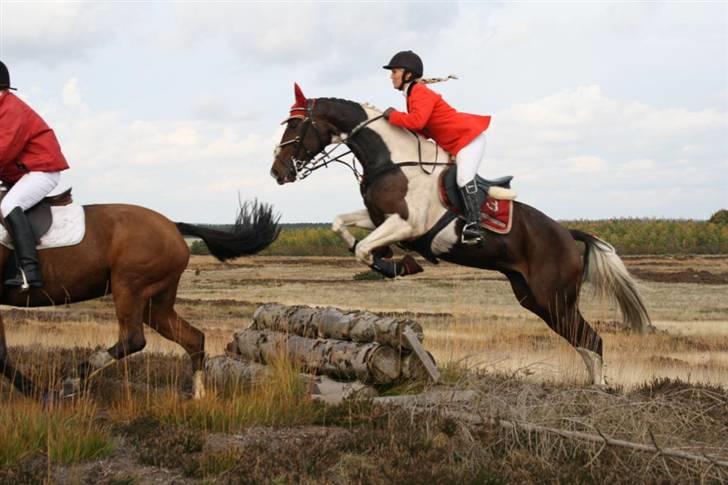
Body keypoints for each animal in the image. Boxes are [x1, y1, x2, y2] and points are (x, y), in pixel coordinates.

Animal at [0, 199, 278, 398]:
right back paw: (199, 395)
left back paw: (75, 379)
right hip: (156, 304)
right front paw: (36, 392)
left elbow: (1, 355)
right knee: (193, 338)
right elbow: (2, 354)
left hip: (129, 287)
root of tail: (173, 226)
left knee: (134, 339)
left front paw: (39, 393)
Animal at [272, 84, 648, 386]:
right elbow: (341, 225)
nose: (277, 171)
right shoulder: (379, 217)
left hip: (554, 297)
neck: (392, 160)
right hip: (535, 299)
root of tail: (568, 234)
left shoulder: (407, 224)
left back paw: (599, 390)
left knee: (592, 340)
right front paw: (388, 257)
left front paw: (397, 264)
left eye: (294, 124)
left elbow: (365, 248)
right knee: (582, 340)